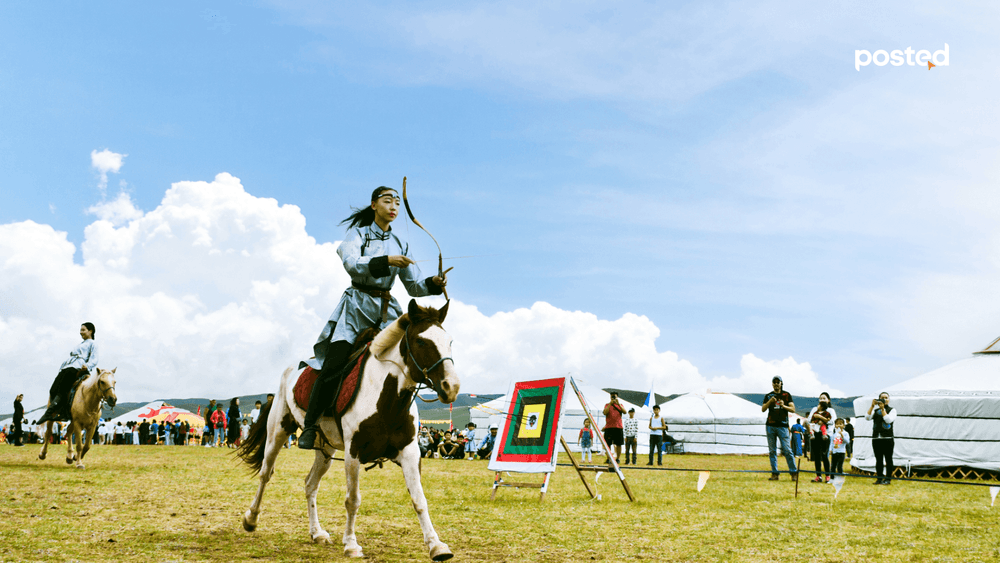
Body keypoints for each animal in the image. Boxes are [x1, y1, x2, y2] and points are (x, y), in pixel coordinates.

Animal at [238, 300, 460, 560]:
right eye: (421, 341)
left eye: (450, 341)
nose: (451, 386)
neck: (386, 398)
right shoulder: (353, 453)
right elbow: (352, 500)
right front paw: (352, 544)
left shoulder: (410, 453)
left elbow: (419, 499)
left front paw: (437, 545)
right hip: (278, 433)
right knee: (266, 473)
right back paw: (251, 519)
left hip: (324, 450)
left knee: (310, 484)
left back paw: (317, 533)